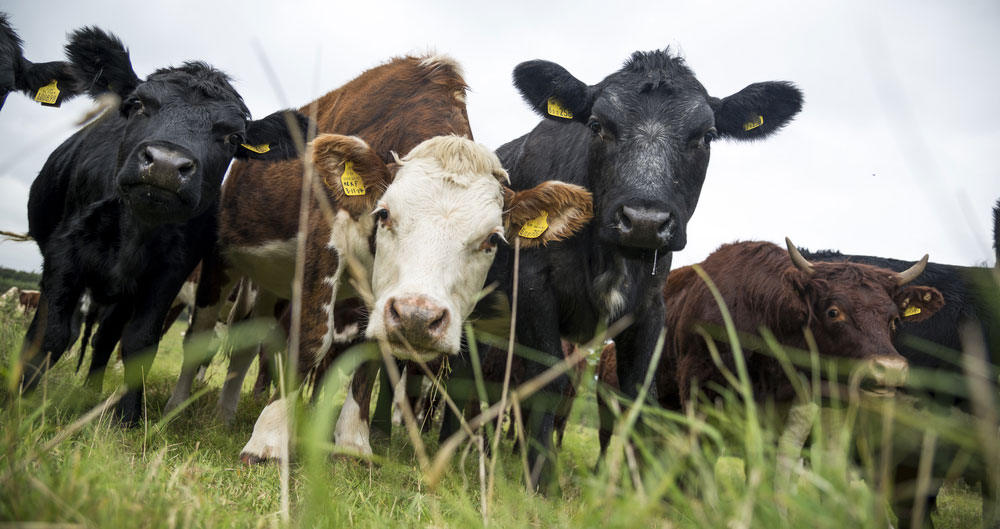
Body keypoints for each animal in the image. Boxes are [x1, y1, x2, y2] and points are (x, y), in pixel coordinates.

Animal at [17, 25, 308, 424]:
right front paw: (23, 405)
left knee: (105, 338)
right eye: (138, 105)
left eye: (232, 137)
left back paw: (91, 392)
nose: (167, 165)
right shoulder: (63, 254)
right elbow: (51, 334)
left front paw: (126, 416)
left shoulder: (169, 272)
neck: (136, 228)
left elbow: (140, 342)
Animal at [484, 49, 804, 490]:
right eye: (597, 126)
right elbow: (549, 380)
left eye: (706, 135)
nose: (645, 221)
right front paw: (539, 481)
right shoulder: (532, 286)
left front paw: (637, 491)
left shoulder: (651, 306)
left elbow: (642, 397)